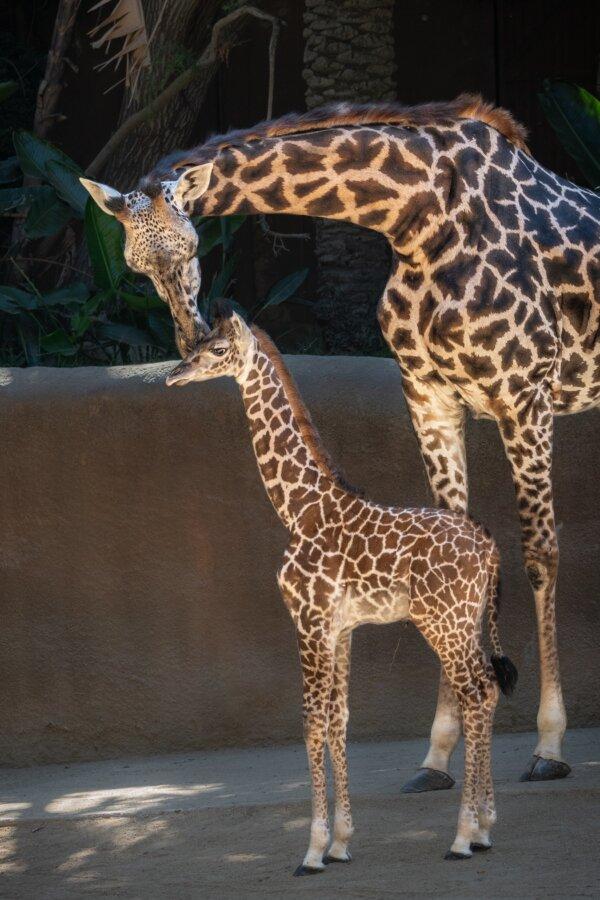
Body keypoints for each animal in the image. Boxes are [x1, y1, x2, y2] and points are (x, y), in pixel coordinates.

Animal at [80, 93, 600, 787]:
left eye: (191, 243)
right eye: (135, 265)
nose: (190, 339)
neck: (418, 217)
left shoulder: (524, 392)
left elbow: (541, 554)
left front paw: (549, 745)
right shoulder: (428, 395)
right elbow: (452, 535)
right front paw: (437, 754)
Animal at [165, 300, 519, 871]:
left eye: (216, 350)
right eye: (194, 345)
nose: (174, 374)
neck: (299, 508)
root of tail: (489, 550)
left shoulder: (308, 620)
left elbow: (311, 720)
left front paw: (311, 850)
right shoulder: (341, 628)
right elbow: (339, 719)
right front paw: (341, 843)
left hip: (443, 622)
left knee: (477, 692)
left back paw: (464, 836)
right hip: (467, 621)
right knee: (484, 691)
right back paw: (484, 828)